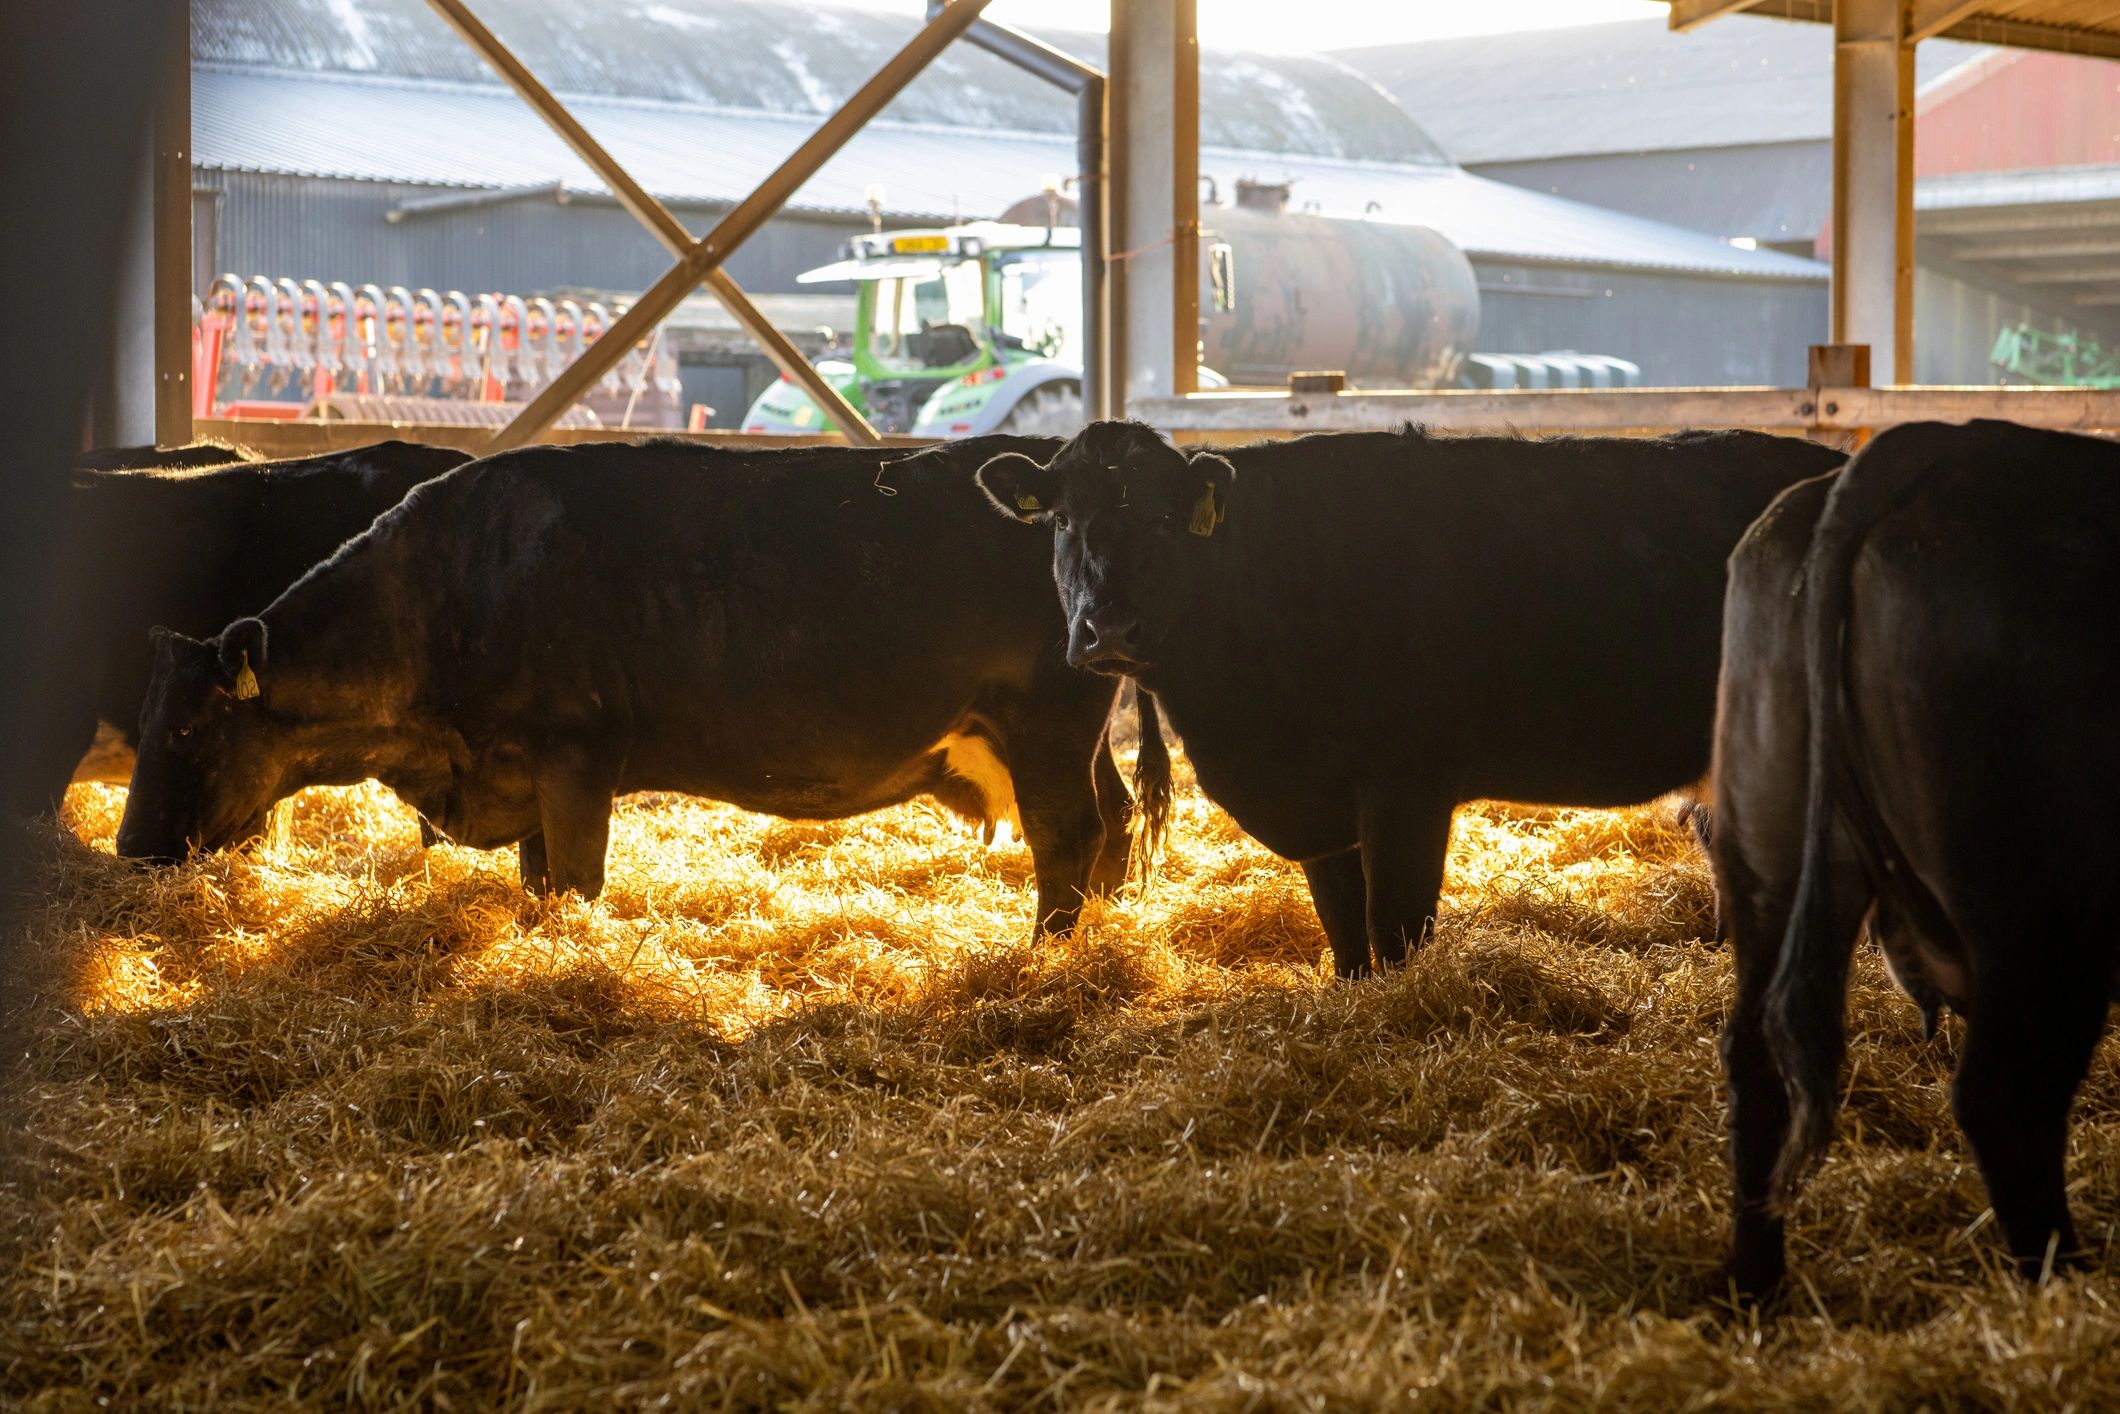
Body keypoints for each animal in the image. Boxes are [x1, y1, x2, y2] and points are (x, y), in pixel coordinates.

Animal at [115, 437, 1159, 937]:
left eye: (187, 734)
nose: (130, 849)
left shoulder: (576, 756)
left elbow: (578, 879)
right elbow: (541, 882)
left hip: (1046, 727)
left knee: (1071, 834)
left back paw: (1046, 953)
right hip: (1064, 734)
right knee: (1113, 821)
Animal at [974, 420, 1845, 977]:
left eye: (1162, 519)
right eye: (1062, 520)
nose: (1109, 627)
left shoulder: (1409, 787)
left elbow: (1395, 929)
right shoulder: (1322, 805)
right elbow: (1347, 936)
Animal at [1712, 419, 2120, 1298]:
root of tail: (1933, 440)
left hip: (1777, 857)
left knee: (1757, 1063)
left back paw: (1757, 1290)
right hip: (2042, 918)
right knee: (2007, 1100)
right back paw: (2063, 1285)